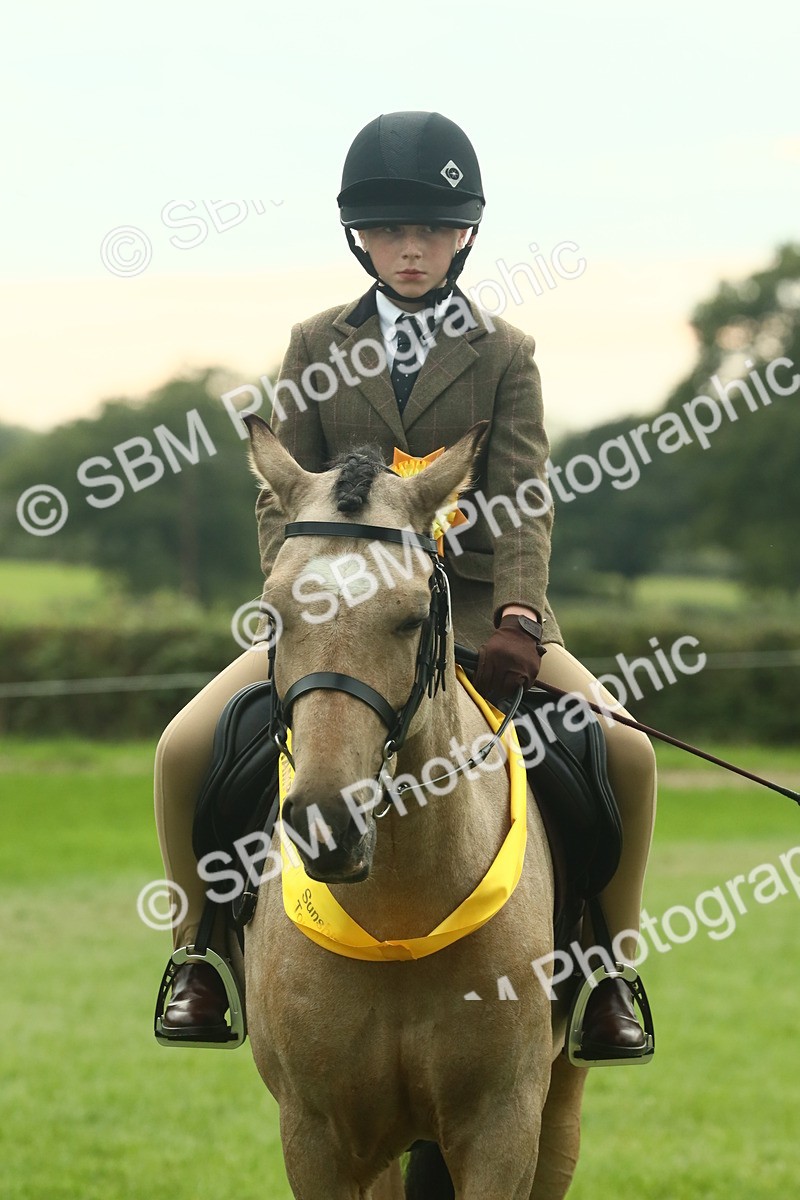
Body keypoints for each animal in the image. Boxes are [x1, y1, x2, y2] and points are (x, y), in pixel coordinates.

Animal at [243, 415, 588, 1200]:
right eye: (273, 614)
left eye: (410, 619)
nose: (326, 823)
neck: (399, 910)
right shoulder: (317, 1134)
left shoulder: (501, 1128)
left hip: (559, 1095)